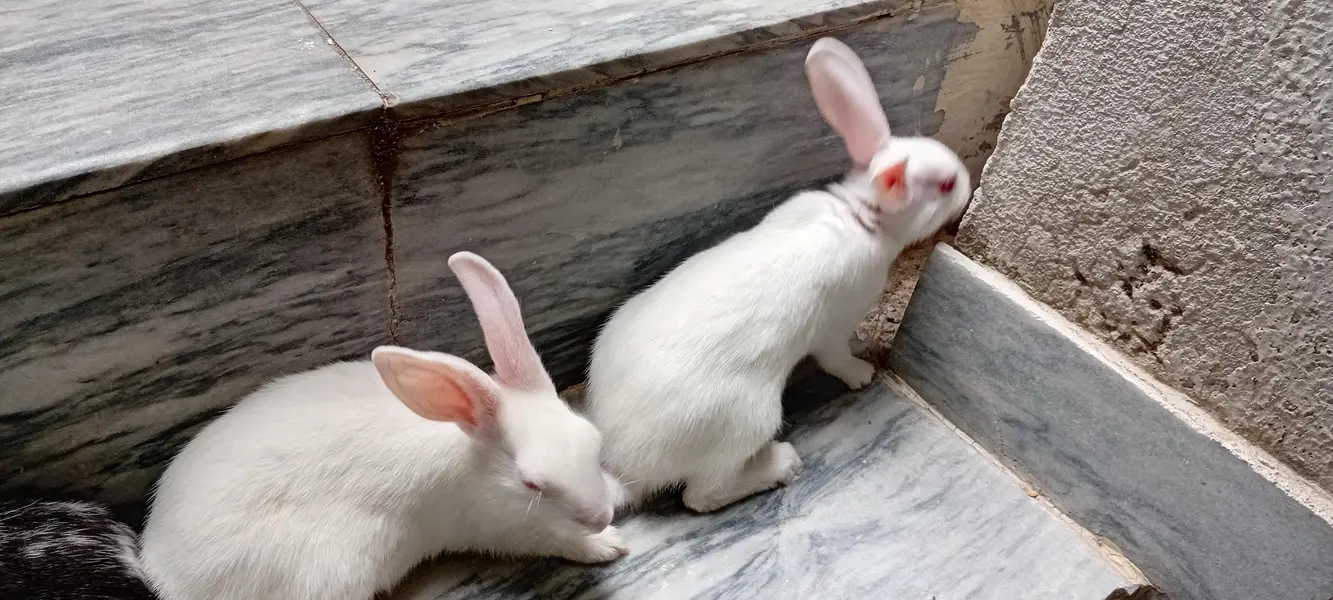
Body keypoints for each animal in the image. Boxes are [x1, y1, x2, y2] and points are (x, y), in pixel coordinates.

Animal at [139, 252, 625, 600]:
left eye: (592, 442)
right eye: (532, 484)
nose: (601, 515)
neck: (479, 460)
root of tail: (158, 567)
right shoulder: (502, 528)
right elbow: (551, 538)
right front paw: (608, 545)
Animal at [585, 37, 971, 514]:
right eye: (945, 185)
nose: (968, 184)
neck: (862, 217)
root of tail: (624, 468)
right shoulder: (833, 327)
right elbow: (836, 358)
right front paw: (862, 373)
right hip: (747, 420)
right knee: (701, 496)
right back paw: (782, 464)